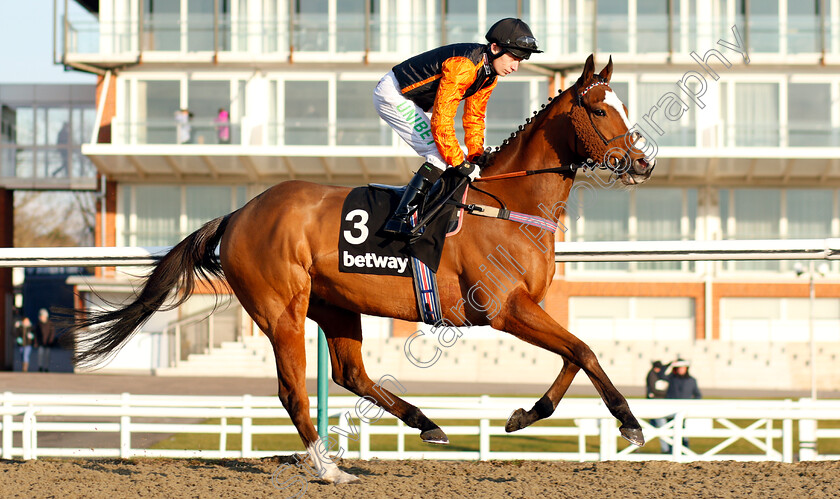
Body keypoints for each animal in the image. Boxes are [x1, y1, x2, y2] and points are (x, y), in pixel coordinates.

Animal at [67, 55, 656, 484]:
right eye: (601, 111)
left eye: (624, 105)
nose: (644, 162)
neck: (508, 204)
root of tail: (239, 213)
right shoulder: (504, 308)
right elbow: (584, 349)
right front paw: (629, 422)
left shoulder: (528, 306)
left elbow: (573, 355)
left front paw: (524, 415)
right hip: (281, 308)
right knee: (293, 390)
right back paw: (328, 468)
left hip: (335, 307)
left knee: (350, 374)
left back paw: (426, 424)